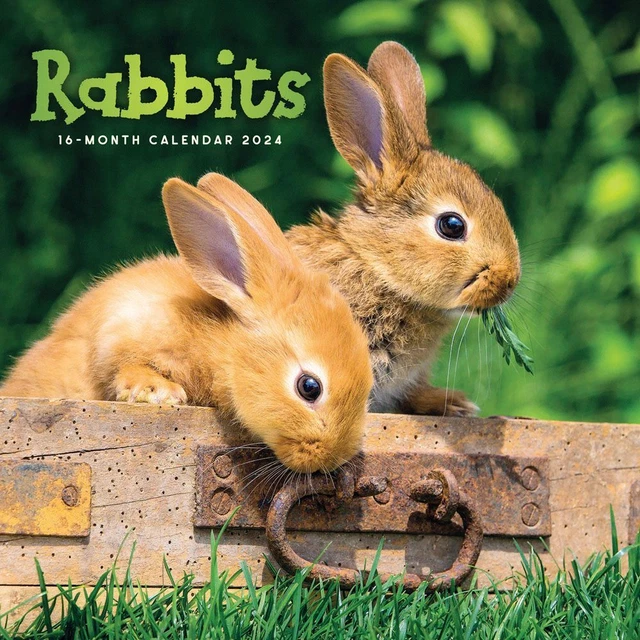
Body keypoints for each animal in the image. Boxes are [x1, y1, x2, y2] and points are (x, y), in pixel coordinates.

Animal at [0, 175, 373, 473]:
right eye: (309, 387)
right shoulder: (123, 326)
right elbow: (122, 366)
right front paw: (158, 393)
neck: (224, 345)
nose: (333, 458)